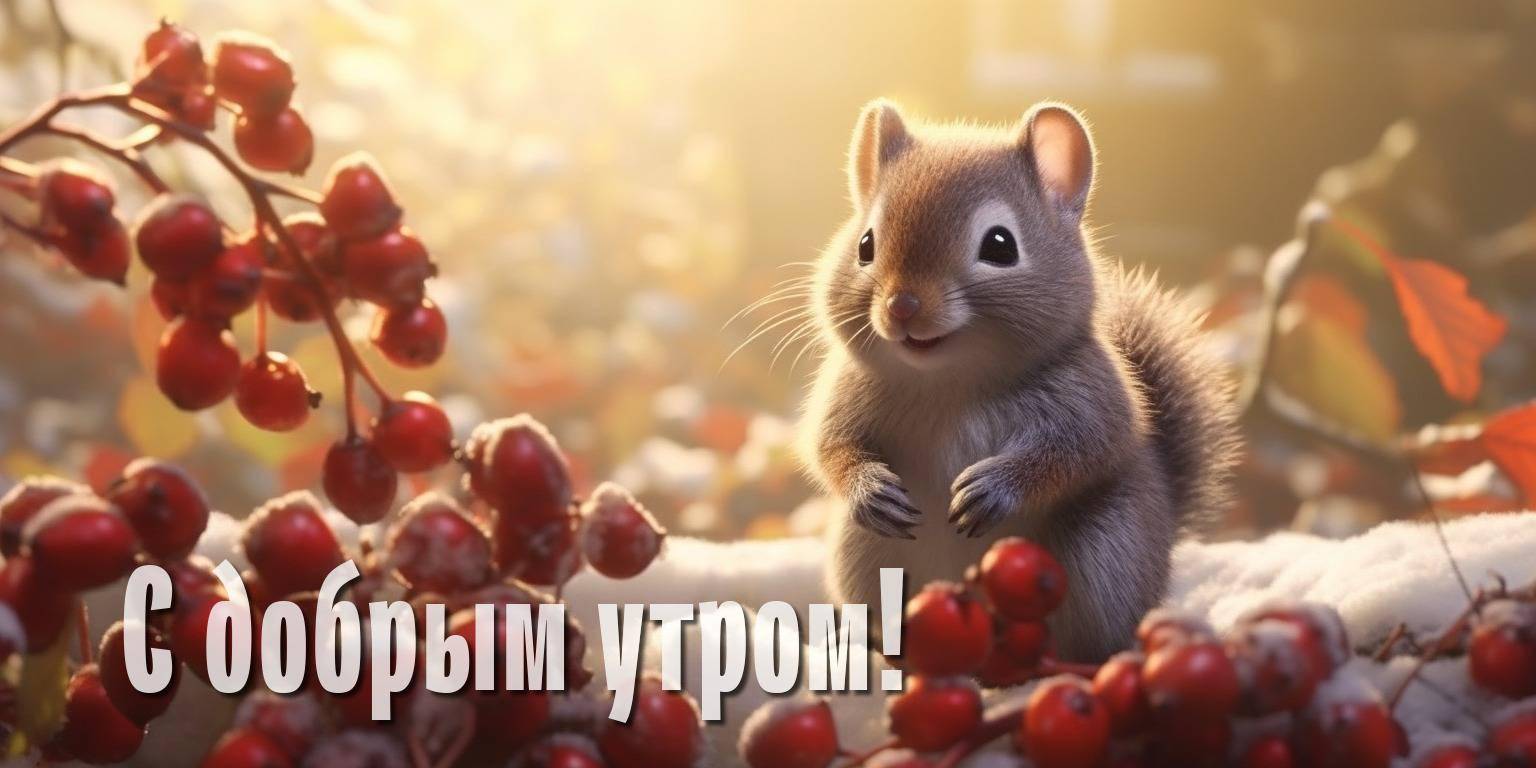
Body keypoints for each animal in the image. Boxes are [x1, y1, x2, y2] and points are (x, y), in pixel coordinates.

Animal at [798, 100, 1238, 661]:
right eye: (865, 244)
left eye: (1001, 245)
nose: (902, 307)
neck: (949, 383)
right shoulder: (844, 395)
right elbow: (830, 447)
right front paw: (869, 489)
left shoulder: (1091, 398)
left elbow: (1077, 452)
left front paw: (996, 488)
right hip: (866, 559)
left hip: (1106, 555)